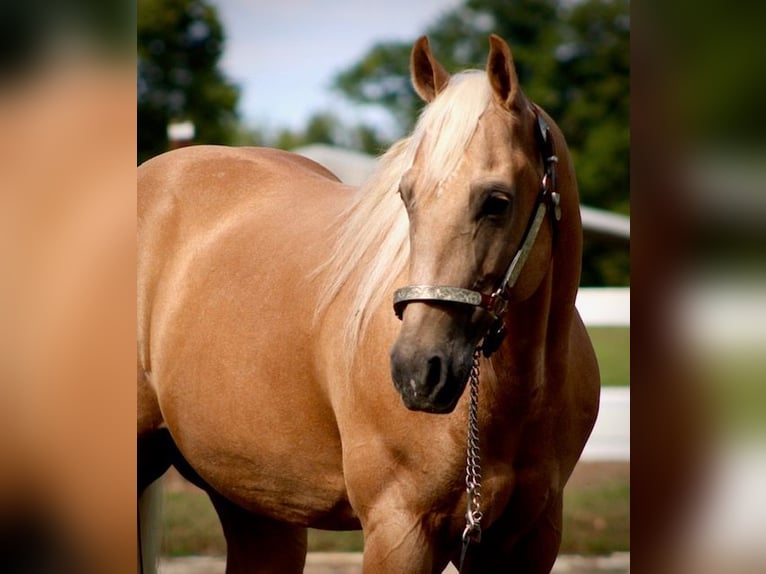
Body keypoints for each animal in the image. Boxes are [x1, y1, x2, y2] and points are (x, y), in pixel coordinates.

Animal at [137, 34, 600, 573]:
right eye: (407, 195)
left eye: (497, 202)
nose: (417, 371)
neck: (519, 396)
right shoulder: (400, 531)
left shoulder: (529, 539)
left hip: (258, 507)